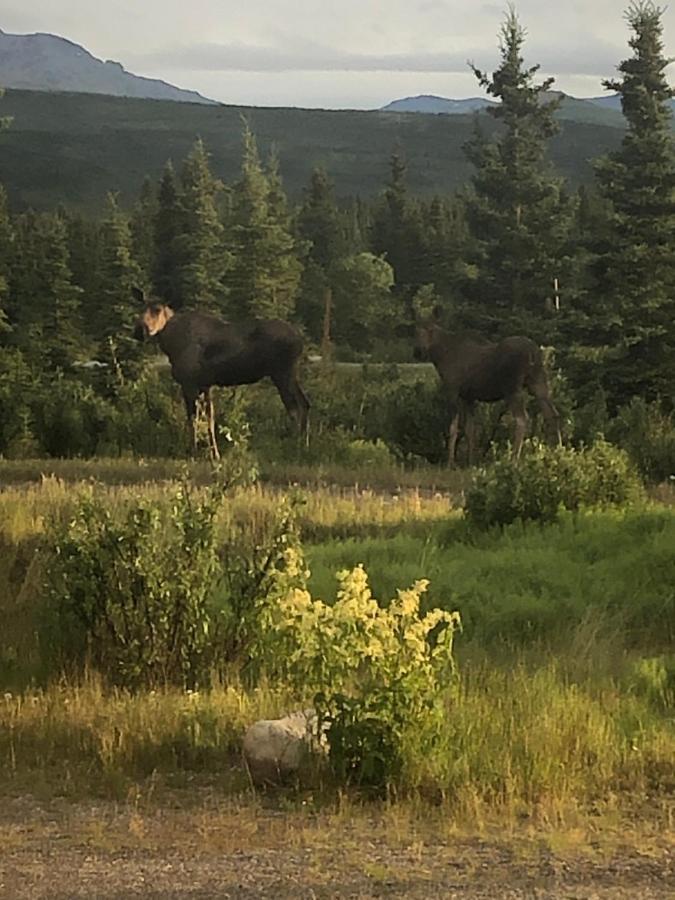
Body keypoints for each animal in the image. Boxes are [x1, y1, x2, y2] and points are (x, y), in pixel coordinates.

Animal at [133, 288, 312, 458]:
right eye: (141, 307)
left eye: (157, 309)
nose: (139, 331)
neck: (172, 345)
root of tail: (300, 340)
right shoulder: (205, 385)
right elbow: (209, 419)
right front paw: (214, 454)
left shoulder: (189, 383)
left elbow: (194, 419)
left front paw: (193, 452)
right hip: (287, 373)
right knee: (303, 404)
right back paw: (302, 445)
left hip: (282, 373)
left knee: (296, 407)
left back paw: (296, 446)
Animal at [414, 316, 564, 468]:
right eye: (415, 331)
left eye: (430, 331)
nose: (418, 351)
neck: (441, 356)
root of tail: (533, 353)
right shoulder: (468, 397)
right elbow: (470, 429)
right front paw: (471, 462)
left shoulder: (452, 390)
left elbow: (453, 428)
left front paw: (450, 463)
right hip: (538, 383)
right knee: (552, 414)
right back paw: (557, 452)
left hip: (512, 389)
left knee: (522, 418)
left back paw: (514, 460)